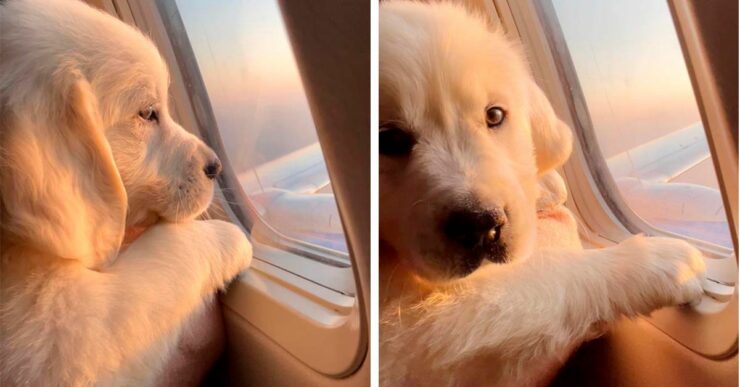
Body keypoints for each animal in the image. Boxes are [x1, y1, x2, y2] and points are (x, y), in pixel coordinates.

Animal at [382, 1, 704, 386]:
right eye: (388, 139)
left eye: (495, 115)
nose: (480, 225)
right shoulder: (409, 329)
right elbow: (546, 276)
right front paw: (658, 263)